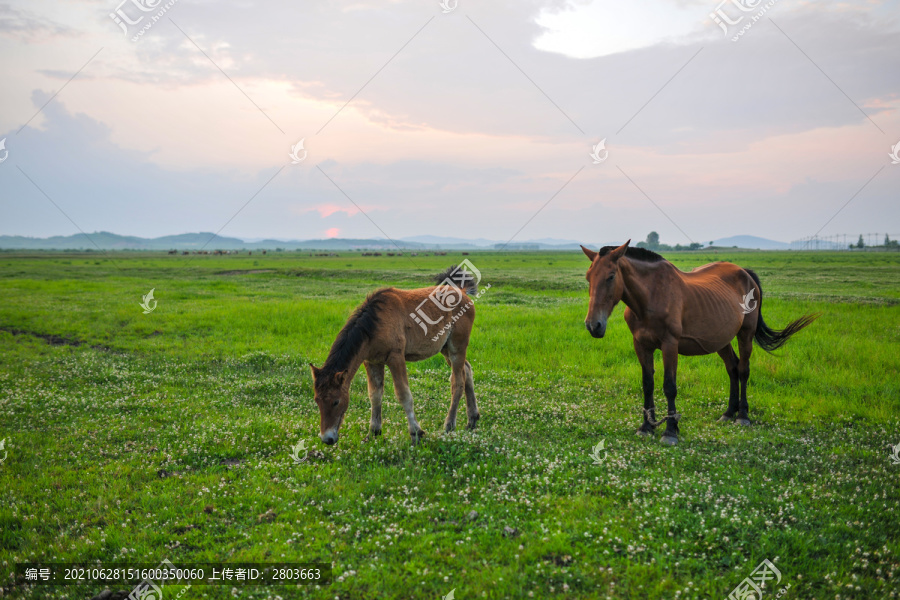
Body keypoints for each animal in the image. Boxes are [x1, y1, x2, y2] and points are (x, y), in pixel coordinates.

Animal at [310, 268, 478, 446]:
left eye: (336, 401)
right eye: (317, 400)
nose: (327, 438)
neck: (375, 324)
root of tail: (462, 292)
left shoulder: (395, 357)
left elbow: (404, 394)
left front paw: (416, 433)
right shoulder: (371, 361)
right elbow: (375, 394)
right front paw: (373, 432)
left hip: (456, 348)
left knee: (457, 381)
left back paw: (449, 424)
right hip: (445, 349)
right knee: (467, 370)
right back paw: (472, 419)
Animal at [580, 240, 820, 446]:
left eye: (611, 276)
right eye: (588, 277)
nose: (593, 325)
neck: (651, 295)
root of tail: (745, 273)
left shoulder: (670, 345)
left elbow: (669, 386)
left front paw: (670, 431)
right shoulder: (641, 345)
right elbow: (647, 384)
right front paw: (646, 427)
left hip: (745, 334)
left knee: (743, 370)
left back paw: (742, 415)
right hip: (721, 339)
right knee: (732, 368)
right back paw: (728, 413)